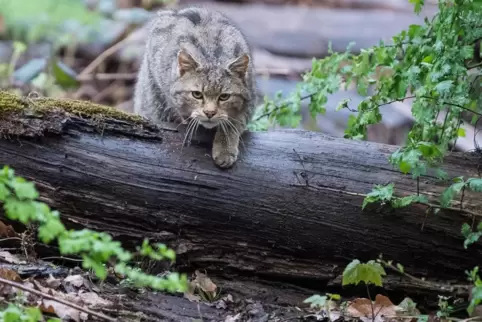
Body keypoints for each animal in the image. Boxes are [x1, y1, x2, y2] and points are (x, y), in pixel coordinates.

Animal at [133, 6, 256, 169]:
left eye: (224, 97)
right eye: (197, 94)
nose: (209, 113)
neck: (212, 56)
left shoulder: (250, 100)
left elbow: (233, 123)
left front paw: (225, 149)